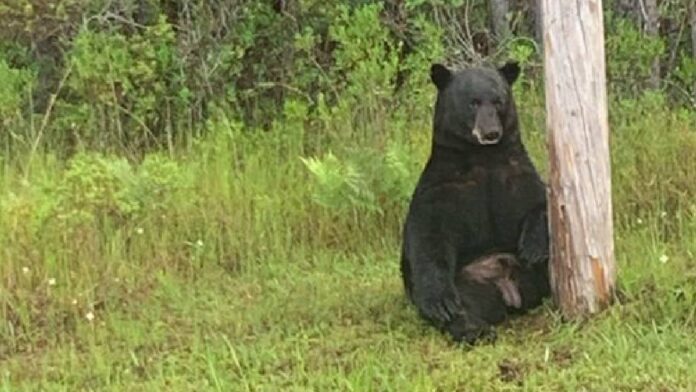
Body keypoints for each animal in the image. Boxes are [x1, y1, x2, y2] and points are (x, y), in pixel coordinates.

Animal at [400, 61, 552, 344]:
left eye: (499, 100)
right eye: (473, 102)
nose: (491, 132)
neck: (484, 156)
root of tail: (506, 289)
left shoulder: (516, 174)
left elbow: (541, 202)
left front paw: (533, 247)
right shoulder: (443, 187)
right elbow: (429, 236)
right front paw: (439, 303)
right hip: (466, 282)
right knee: (462, 305)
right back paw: (473, 329)